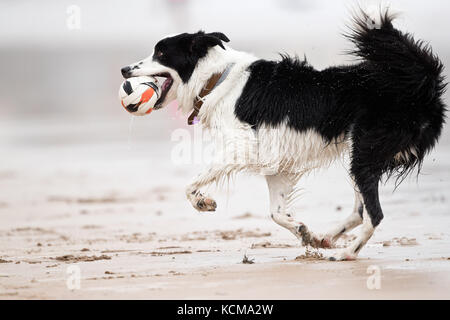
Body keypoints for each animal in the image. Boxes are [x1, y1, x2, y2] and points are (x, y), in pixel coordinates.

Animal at [120, 9, 446, 260]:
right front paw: (304, 232)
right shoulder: (277, 163)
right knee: (359, 210)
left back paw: (346, 253)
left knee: (374, 214)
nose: (124, 69)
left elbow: (191, 184)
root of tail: (422, 89)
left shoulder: (242, 147)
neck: (216, 79)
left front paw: (202, 202)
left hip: (364, 151)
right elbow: (276, 213)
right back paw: (326, 238)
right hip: (363, 154)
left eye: (161, 52)